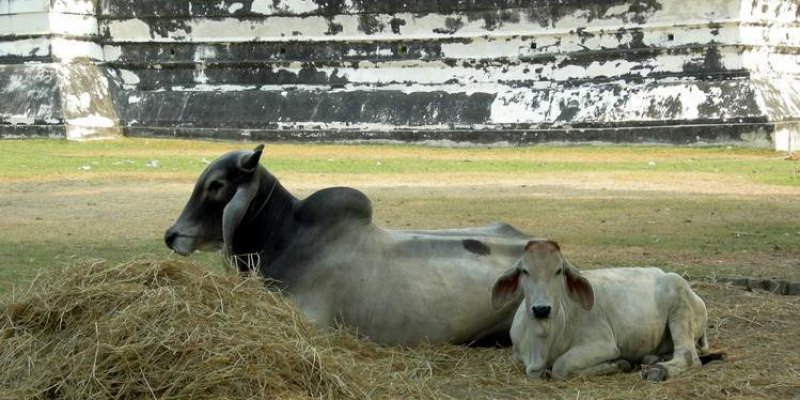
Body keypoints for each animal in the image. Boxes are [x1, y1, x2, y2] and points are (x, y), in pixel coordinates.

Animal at [494, 241, 712, 382]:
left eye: (559, 271)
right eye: (524, 271)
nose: (541, 309)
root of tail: (696, 297)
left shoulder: (603, 345)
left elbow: (560, 367)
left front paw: (618, 364)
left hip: (680, 306)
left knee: (688, 356)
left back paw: (657, 371)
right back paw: (652, 360)